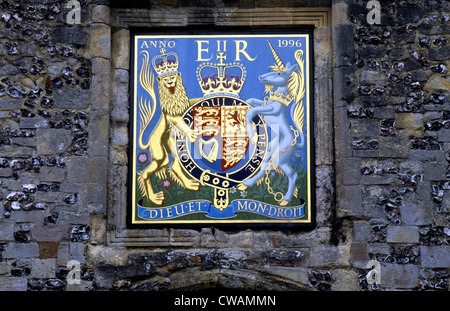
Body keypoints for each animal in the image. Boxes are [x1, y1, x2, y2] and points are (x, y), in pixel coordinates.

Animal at [137, 51, 200, 206]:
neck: (173, 95)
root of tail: (149, 141)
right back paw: (154, 198)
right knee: (145, 173)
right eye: (165, 79)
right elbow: (178, 121)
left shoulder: (185, 105)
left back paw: (189, 184)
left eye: (172, 77)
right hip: (160, 154)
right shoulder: (171, 114)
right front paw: (191, 133)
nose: (170, 83)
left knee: (174, 165)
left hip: (172, 145)